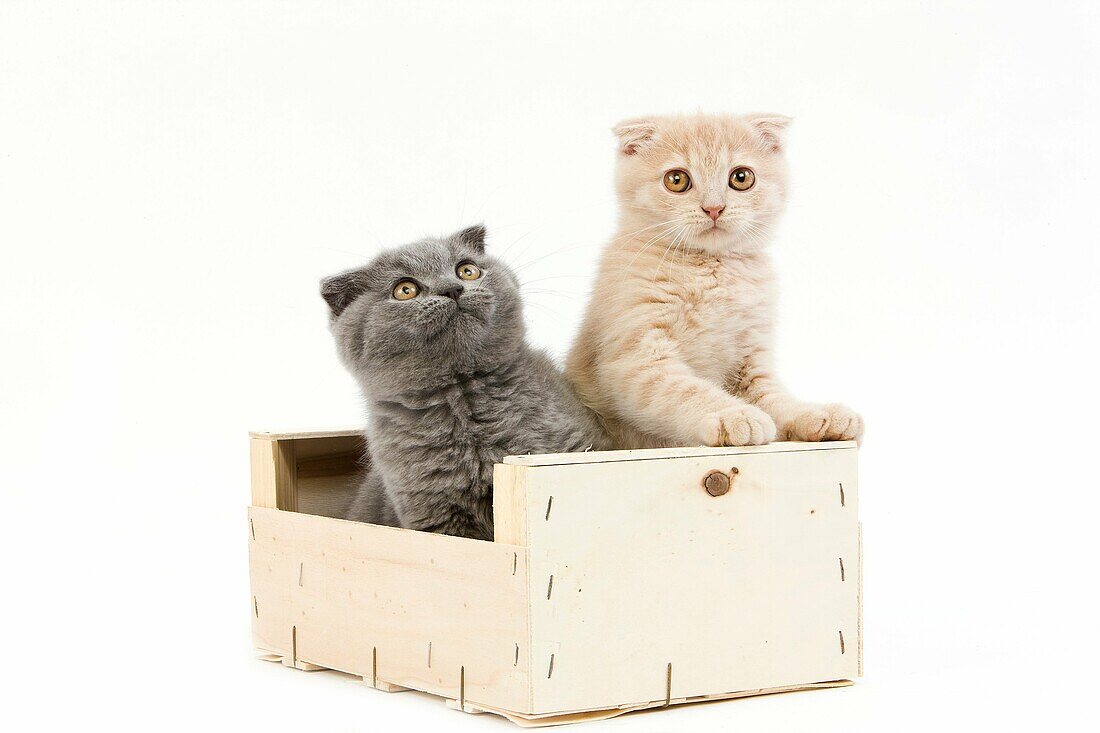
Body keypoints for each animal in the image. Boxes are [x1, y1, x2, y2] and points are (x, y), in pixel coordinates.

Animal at [567, 112, 866, 444]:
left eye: (741, 178)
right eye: (676, 180)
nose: (713, 208)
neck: (713, 271)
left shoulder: (752, 359)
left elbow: (775, 397)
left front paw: (816, 413)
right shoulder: (635, 358)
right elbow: (686, 390)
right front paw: (734, 416)